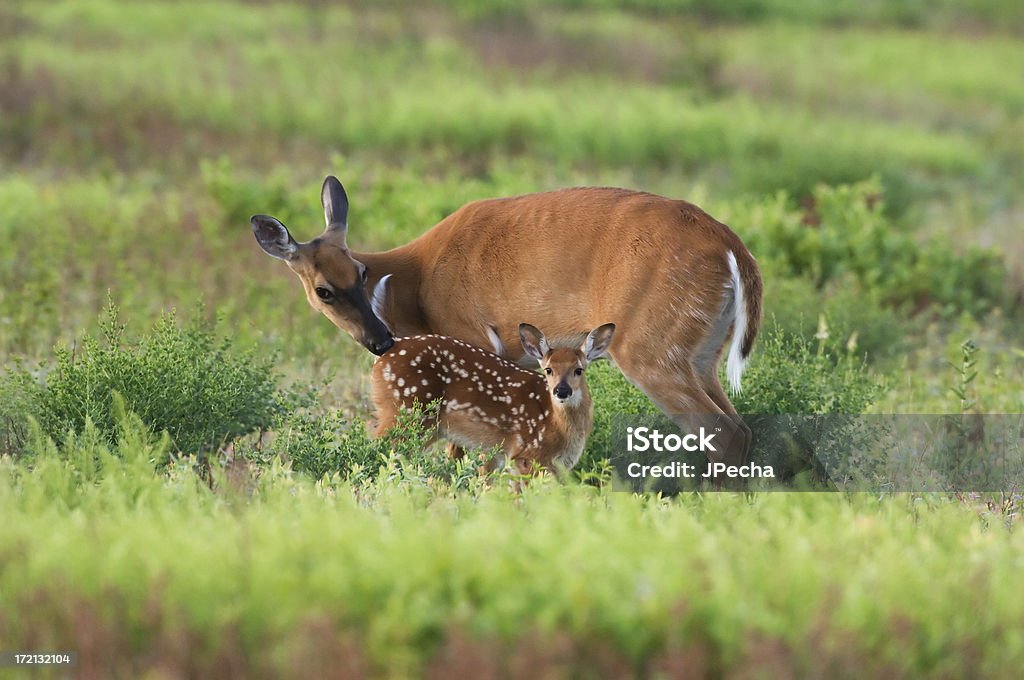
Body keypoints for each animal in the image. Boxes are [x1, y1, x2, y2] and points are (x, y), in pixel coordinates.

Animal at [251, 175, 765, 466]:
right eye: (325, 289)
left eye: (359, 272)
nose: (380, 340)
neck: (412, 284)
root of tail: (731, 247)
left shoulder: (469, 336)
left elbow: (459, 445)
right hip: (702, 353)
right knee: (741, 426)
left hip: (649, 346)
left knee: (725, 432)